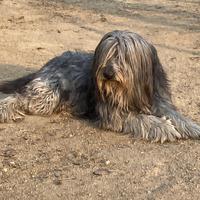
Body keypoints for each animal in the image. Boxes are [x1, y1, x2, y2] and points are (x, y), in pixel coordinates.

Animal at [0, 30, 200, 142]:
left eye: (123, 56)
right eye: (108, 54)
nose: (108, 73)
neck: (132, 91)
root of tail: (47, 64)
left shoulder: (157, 99)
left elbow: (174, 114)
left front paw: (191, 126)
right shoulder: (112, 112)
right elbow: (140, 118)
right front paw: (163, 126)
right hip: (48, 94)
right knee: (20, 97)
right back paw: (6, 109)